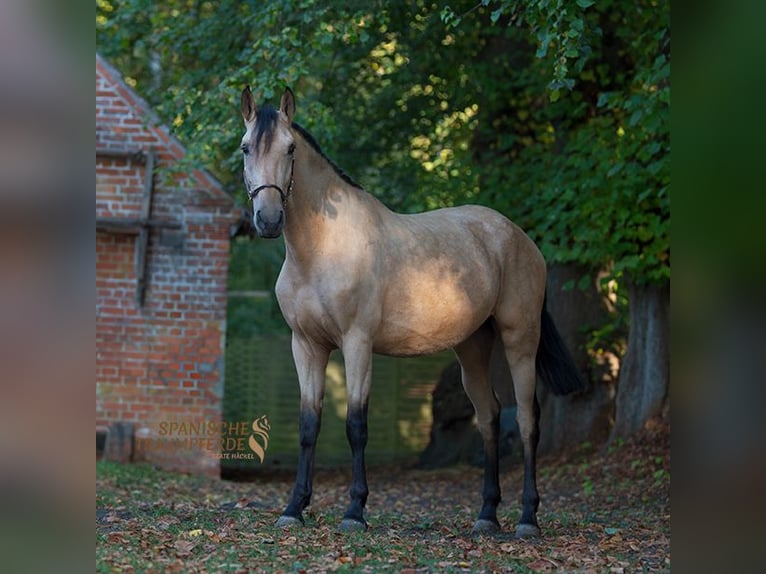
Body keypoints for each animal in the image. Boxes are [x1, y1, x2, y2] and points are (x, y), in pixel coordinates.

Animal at [237, 86, 584, 540]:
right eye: (245, 148)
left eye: (290, 148)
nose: (269, 220)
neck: (321, 249)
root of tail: (521, 239)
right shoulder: (307, 346)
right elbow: (308, 426)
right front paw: (294, 508)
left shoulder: (357, 343)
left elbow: (356, 425)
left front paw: (355, 512)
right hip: (473, 347)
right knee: (489, 417)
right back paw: (486, 516)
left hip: (520, 340)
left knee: (527, 420)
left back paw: (527, 519)